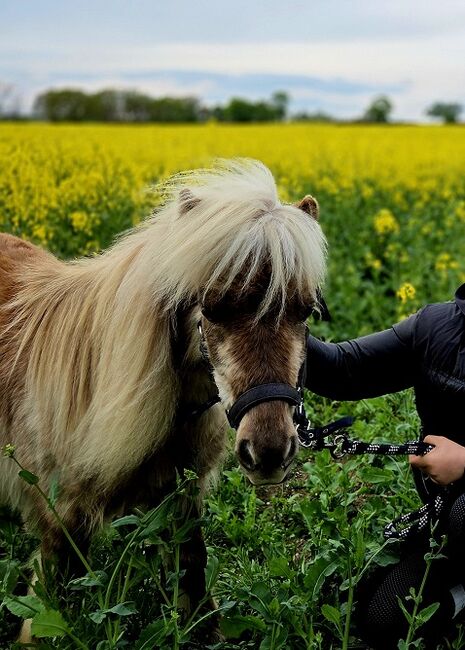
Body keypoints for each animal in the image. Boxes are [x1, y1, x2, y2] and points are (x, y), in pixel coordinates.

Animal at [0, 159, 326, 642]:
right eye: (211, 307)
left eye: (306, 310)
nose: (268, 452)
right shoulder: (58, 522)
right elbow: (46, 612)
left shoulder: (180, 503)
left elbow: (192, 576)